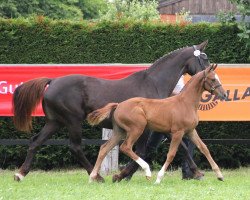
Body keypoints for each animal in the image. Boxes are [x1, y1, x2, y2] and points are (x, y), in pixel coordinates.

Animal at [87, 63, 227, 183]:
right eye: (213, 79)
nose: (224, 95)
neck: (185, 103)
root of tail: (118, 105)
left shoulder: (191, 131)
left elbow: (204, 148)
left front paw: (219, 175)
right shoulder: (178, 132)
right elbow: (171, 154)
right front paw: (159, 178)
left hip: (119, 132)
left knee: (104, 148)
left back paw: (93, 177)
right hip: (137, 129)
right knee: (125, 147)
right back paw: (147, 172)